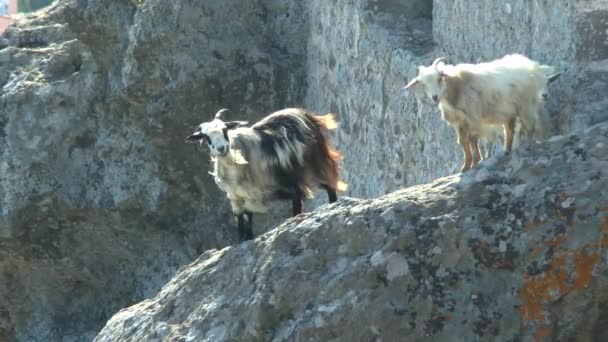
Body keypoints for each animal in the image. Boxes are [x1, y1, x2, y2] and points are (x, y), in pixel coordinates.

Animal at [185, 108, 346, 242]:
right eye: (206, 137)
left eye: (224, 129)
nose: (221, 148)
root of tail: (302, 113)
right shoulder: (236, 196)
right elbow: (242, 216)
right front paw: (243, 238)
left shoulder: (267, 188)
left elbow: (251, 213)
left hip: (314, 164)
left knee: (328, 185)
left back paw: (332, 205)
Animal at [404, 54, 560, 172]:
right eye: (423, 84)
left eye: (440, 77)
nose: (435, 97)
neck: (457, 89)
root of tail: (532, 65)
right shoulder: (460, 122)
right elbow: (463, 141)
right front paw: (466, 166)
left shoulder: (474, 118)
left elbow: (473, 139)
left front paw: (476, 161)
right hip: (509, 111)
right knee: (509, 131)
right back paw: (506, 150)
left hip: (525, 106)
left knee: (529, 127)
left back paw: (527, 146)